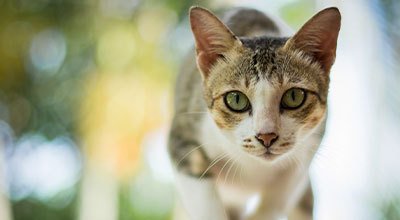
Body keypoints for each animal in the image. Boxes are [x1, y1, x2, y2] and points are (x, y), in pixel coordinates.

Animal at [167, 5, 340, 220]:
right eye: (236, 99)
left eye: (294, 96)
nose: (267, 136)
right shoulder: (183, 137)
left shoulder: (310, 145)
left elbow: (280, 196)